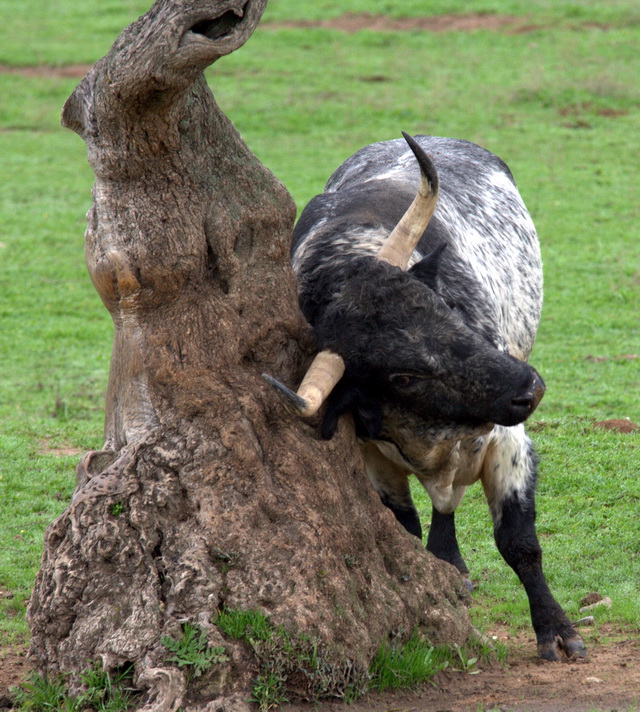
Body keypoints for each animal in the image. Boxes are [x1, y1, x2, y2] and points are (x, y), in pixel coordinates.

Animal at [264, 135, 584, 660]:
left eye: (445, 308)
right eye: (403, 377)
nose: (529, 388)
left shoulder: (509, 441)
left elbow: (519, 542)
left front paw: (557, 628)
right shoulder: (372, 456)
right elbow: (407, 530)